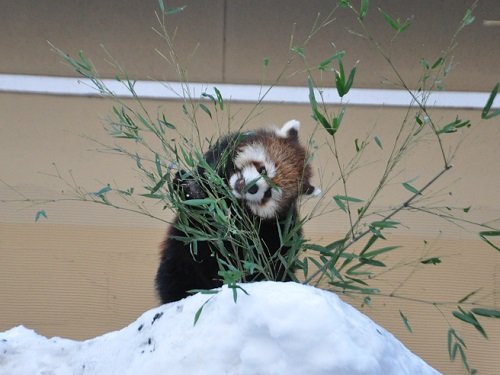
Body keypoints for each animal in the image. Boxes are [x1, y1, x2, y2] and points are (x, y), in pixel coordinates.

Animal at [155, 121, 320, 306]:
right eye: (263, 170)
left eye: (269, 193)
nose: (252, 187)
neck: (231, 198)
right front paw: (188, 186)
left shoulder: (275, 229)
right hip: (182, 253)